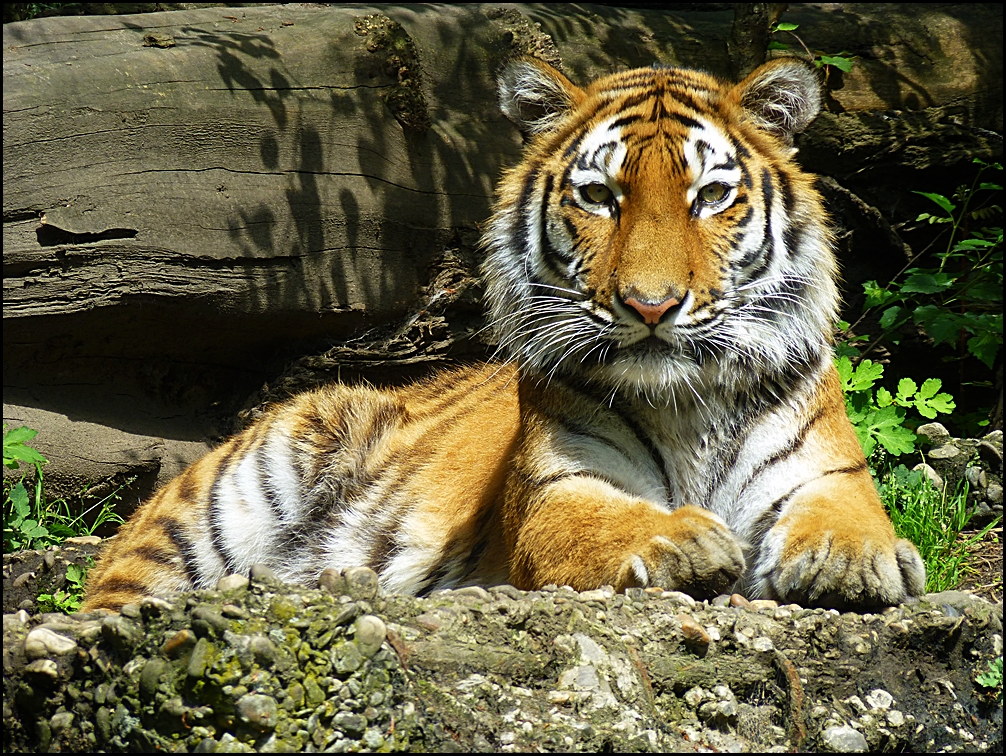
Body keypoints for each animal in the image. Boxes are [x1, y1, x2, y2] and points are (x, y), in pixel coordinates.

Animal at [84, 59, 925, 616]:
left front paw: (857, 563)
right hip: (228, 492)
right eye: (600, 196)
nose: (651, 305)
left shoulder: (828, 474)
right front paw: (687, 545)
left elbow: (852, 519)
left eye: (711, 196)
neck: (686, 403)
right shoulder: (556, 490)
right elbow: (606, 523)